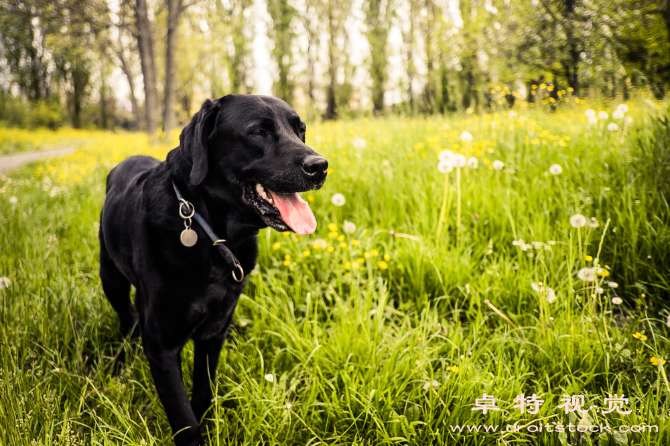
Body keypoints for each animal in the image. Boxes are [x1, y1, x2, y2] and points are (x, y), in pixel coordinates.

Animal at [99, 95, 328, 446]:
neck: (211, 233)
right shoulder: (161, 346)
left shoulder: (213, 332)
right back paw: (120, 363)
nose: (320, 166)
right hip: (110, 276)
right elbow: (183, 417)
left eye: (300, 130)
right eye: (258, 132)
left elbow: (203, 392)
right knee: (128, 320)